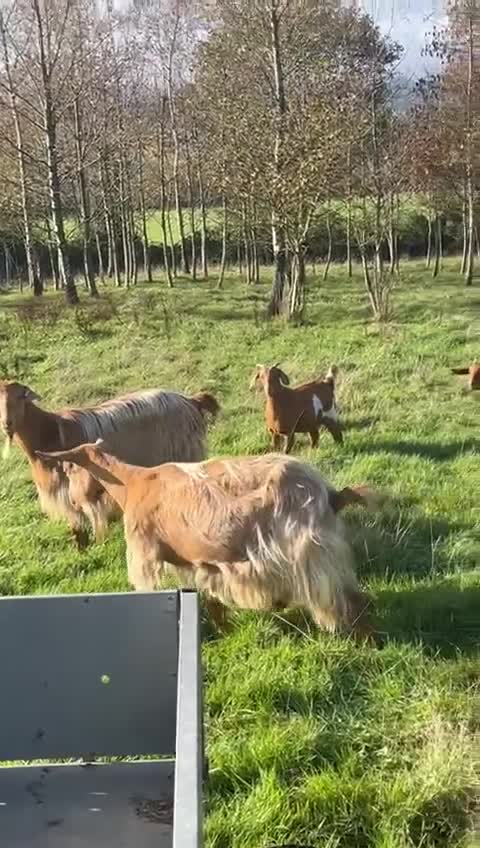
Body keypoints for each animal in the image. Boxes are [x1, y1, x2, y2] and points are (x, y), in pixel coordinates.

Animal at [36, 443, 380, 644]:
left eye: (69, 467)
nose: (73, 502)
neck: (134, 484)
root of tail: (327, 492)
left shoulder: (144, 554)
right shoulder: (198, 563)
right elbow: (211, 598)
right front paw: (224, 630)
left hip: (310, 554)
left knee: (348, 599)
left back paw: (366, 644)